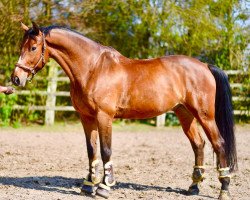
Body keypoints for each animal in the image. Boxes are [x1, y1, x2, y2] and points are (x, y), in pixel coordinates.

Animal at [11, 22, 236, 199]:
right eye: (21, 46)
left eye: (33, 47)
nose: (16, 78)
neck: (93, 68)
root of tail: (205, 66)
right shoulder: (86, 118)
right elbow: (91, 150)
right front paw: (88, 185)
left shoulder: (104, 117)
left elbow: (105, 150)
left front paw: (104, 186)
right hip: (184, 113)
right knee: (198, 145)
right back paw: (193, 187)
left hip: (205, 116)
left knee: (219, 144)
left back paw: (224, 189)